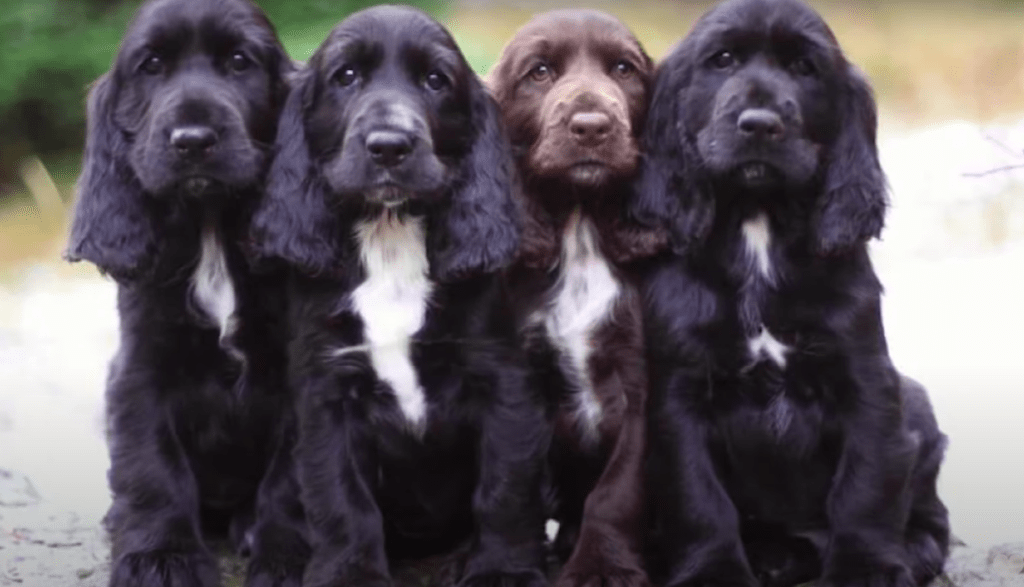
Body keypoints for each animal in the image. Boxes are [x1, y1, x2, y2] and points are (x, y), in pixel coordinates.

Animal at [61, 1, 303, 585]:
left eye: (239, 61)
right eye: (151, 66)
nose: (192, 140)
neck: (209, 223)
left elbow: (290, 475)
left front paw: (285, 556)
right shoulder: (141, 368)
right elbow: (153, 467)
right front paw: (160, 556)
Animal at [248, 6, 552, 585]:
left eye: (435, 80)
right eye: (346, 76)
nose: (389, 145)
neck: (390, 238)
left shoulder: (500, 379)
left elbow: (503, 489)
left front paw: (500, 569)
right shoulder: (327, 390)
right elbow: (342, 500)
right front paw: (349, 573)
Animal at [487, 10, 663, 587]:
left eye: (623, 70)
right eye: (539, 72)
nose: (591, 126)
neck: (581, 227)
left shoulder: (640, 384)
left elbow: (614, 493)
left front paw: (601, 566)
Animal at [630, 1, 950, 585]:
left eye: (804, 68)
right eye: (723, 60)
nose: (760, 124)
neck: (758, 225)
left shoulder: (866, 382)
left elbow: (866, 486)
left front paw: (865, 567)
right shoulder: (678, 394)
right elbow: (698, 497)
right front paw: (713, 570)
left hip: (915, 400)